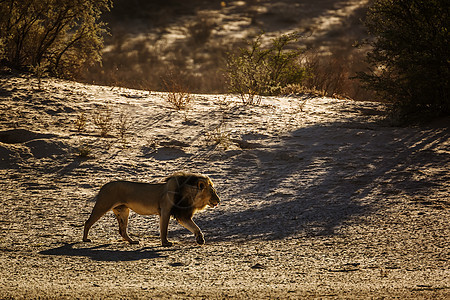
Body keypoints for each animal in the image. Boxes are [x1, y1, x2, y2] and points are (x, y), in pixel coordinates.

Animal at [83, 172, 221, 247]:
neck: (190, 196)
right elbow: (164, 229)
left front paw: (200, 239)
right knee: (88, 222)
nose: (219, 201)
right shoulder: (165, 211)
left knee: (122, 231)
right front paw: (165, 243)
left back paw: (132, 241)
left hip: (123, 211)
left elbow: (195, 227)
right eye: (213, 192)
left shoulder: (182, 215)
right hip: (103, 205)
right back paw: (85, 239)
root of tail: (103, 186)